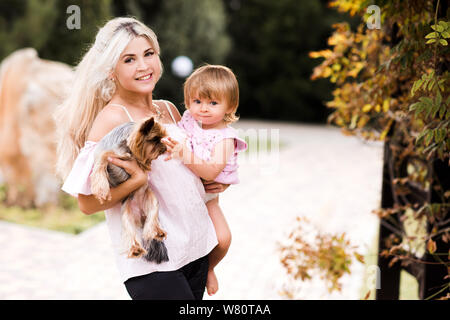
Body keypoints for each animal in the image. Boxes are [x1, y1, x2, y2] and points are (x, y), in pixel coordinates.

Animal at [89, 117, 169, 262]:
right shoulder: (107, 153)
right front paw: (101, 188)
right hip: (126, 214)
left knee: (152, 217)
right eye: (155, 139)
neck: (126, 148)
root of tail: (141, 215)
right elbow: (103, 158)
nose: (165, 148)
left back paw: (156, 232)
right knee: (129, 230)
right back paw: (135, 249)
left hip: (151, 199)